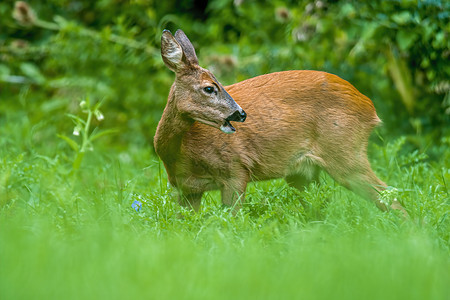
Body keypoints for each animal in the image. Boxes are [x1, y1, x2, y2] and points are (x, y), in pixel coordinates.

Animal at [153, 29, 406, 214]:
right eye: (209, 88)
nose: (241, 114)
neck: (182, 152)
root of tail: (369, 107)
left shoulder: (236, 168)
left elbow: (232, 218)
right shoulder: (186, 188)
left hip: (345, 154)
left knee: (391, 198)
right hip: (302, 173)